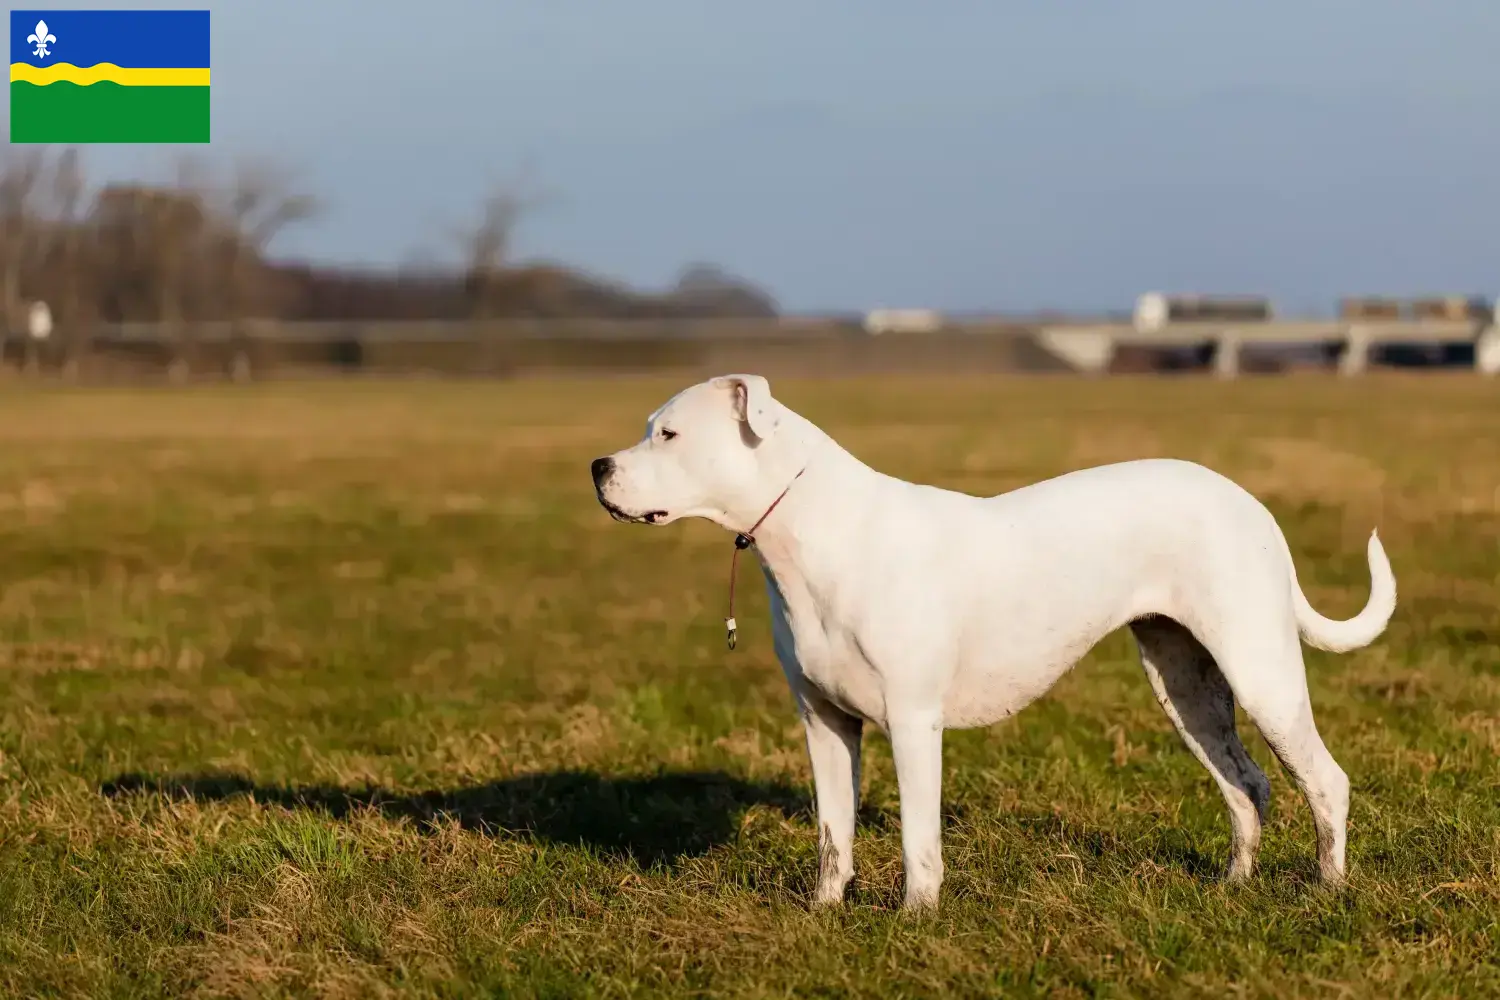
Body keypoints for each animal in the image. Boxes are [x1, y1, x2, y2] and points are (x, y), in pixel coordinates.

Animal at [588, 371, 1392, 911]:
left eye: (669, 434)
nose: (598, 467)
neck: (813, 531)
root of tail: (1249, 502)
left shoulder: (913, 722)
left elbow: (917, 837)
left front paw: (915, 919)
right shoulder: (825, 723)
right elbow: (832, 831)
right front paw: (823, 912)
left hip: (1261, 672)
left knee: (1325, 781)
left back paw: (1328, 890)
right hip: (1186, 687)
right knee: (1246, 786)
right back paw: (1233, 887)